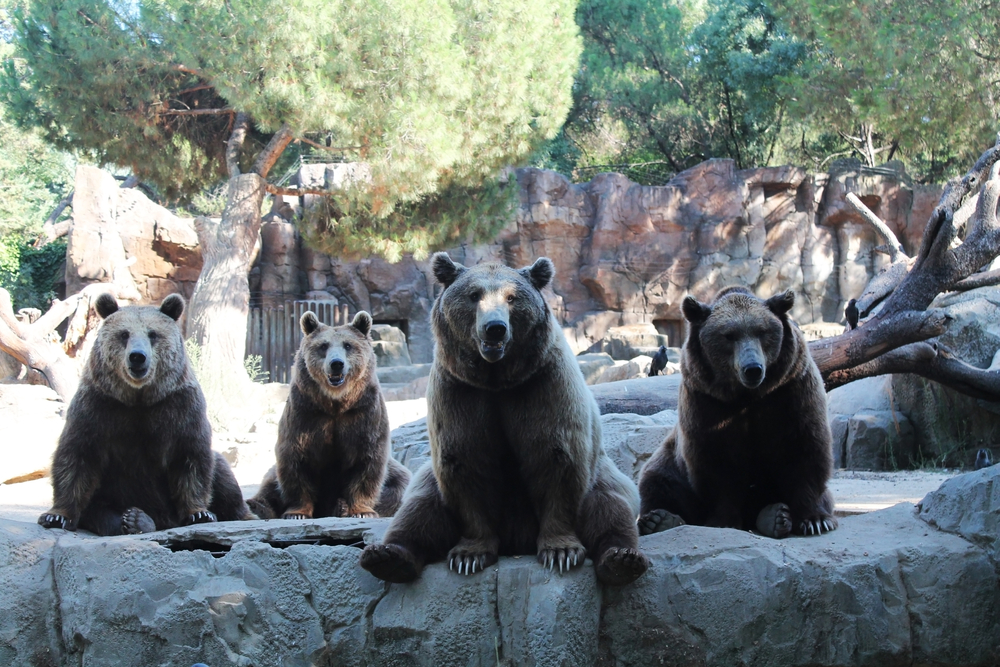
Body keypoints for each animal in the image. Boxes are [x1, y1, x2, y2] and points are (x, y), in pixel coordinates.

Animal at [40, 294, 254, 536]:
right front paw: (57, 515)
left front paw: (199, 513)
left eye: (153, 334)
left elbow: (191, 455)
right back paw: (134, 519)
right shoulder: (98, 406)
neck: (139, 397)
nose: (137, 357)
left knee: (223, 475)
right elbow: (77, 455)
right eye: (124, 334)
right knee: (103, 513)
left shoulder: (179, 406)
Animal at [246, 310, 410, 520]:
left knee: (398, 484)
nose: (336, 364)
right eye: (323, 345)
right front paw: (297, 512)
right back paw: (255, 505)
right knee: (269, 484)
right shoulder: (305, 412)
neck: (335, 402)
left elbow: (367, 458)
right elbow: (295, 458)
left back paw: (341, 506)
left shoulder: (363, 412)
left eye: (348, 345)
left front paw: (362, 510)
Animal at [360, 253, 648, 588]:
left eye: (512, 297)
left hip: (605, 473)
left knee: (610, 506)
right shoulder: (460, 392)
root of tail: (516, 541)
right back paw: (386, 557)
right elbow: (466, 464)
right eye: (474, 295)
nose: (494, 328)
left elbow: (557, 459)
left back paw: (621, 559)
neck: (497, 379)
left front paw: (561, 551)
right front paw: (469, 555)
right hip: (426, 482)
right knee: (417, 510)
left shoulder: (543, 385)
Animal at [636, 288, 840, 536]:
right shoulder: (707, 402)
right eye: (729, 335)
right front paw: (723, 521)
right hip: (672, 460)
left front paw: (814, 520)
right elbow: (716, 463)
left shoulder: (791, 390)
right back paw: (659, 519)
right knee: (657, 479)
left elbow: (805, 448)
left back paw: (774, 517)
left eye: (762, 331)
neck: (748, 395)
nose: (752, 369)